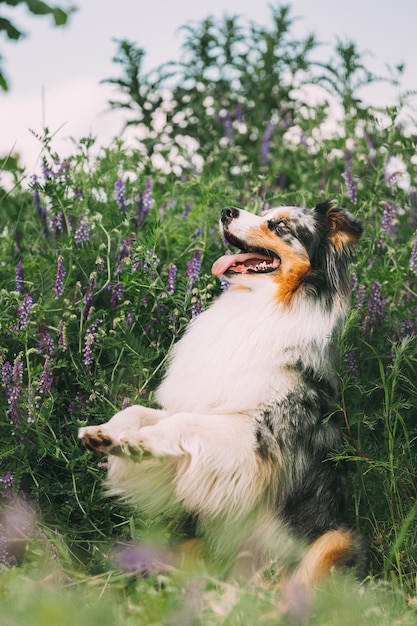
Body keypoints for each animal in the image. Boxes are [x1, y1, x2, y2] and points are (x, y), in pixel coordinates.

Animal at [78, 199, 364, 584]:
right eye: (264, 214)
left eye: (280, 226)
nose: (227, 211)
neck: (262, 308)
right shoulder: (203, 405)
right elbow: (137, 412)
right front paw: (107, 435)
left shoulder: (257, 439)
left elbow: (181, 423)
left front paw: (136, 442)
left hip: (335, 539)